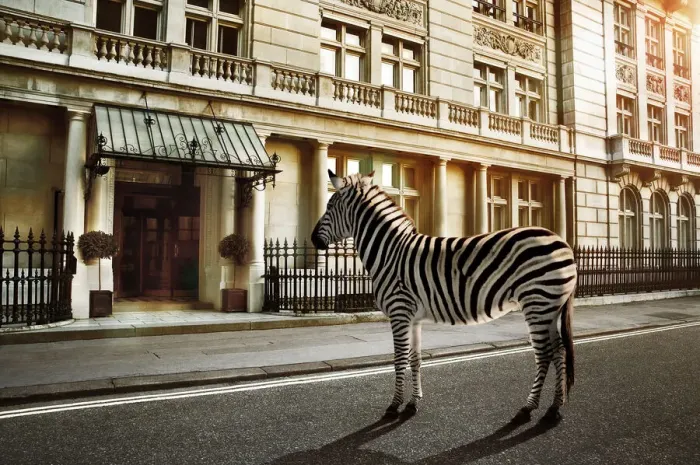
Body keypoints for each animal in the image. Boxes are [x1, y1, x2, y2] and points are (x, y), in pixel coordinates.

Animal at [311, 170, 577, 423]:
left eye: (330, 205)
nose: (313, 239)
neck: (390, 252)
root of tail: (562, 242)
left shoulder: (399, 311)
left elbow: (399, 359)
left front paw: (394, 405)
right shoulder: (413, 317)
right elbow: (415, 358)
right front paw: (413, 403)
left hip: (537, 302)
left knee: (544, 355)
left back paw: (528, 408)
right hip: (549, 306)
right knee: (559, 351)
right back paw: (554, 408)